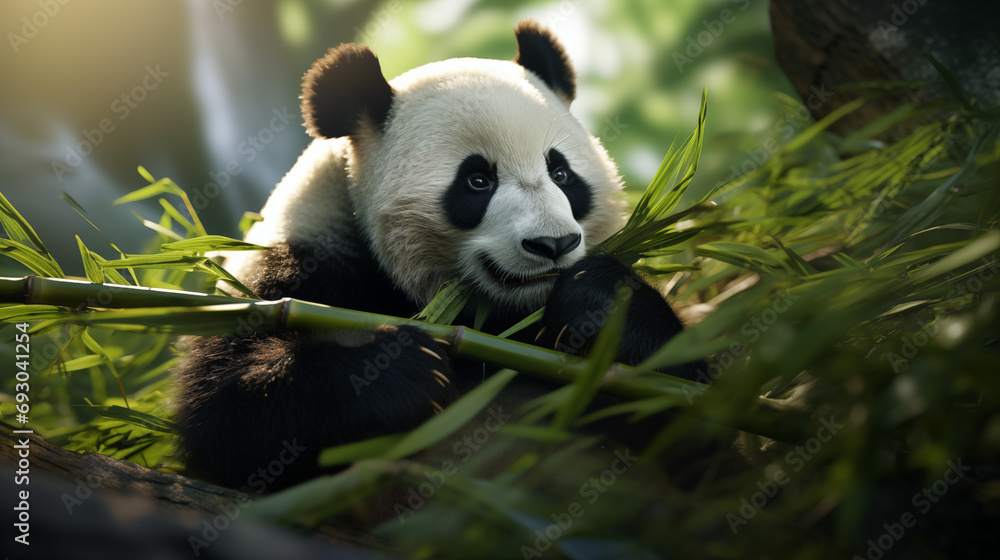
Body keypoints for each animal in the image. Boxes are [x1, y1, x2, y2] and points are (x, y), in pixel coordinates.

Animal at [174, 20, 703, 493]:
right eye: (477, 181)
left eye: (561, 173)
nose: (552, 245)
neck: (498, 318)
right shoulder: (300, 266)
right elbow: (228, 411)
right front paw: (402, 370)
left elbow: (690, 412)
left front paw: (601, 303)